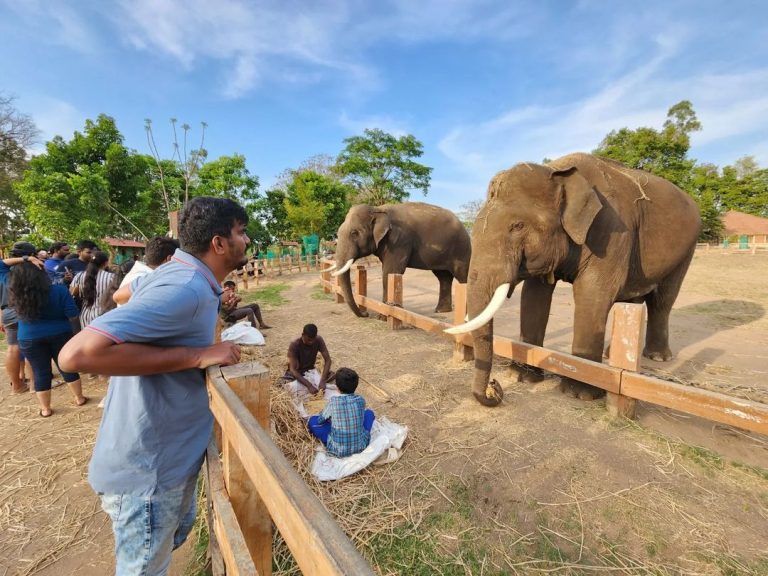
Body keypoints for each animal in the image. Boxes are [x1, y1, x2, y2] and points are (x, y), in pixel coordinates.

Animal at [332, 202, 472, 318]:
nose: (365, 314)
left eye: (354, 233)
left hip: (461, 250)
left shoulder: (399, 240)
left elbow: (390, 271)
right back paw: (440, 311)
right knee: (443, 277)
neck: (377, 209)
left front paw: (383, 317)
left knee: (462, 276)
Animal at [444, 153, 704, 404]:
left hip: (686, 251)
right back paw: (611, 354)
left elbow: (593, 293)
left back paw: (657, 357)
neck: (557, 171)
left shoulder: (611, 231)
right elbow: (534, 296)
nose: (494, 388)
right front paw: (520, 376)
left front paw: (579, 393)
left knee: (662, 301)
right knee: (634, 300)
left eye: (517, 226)